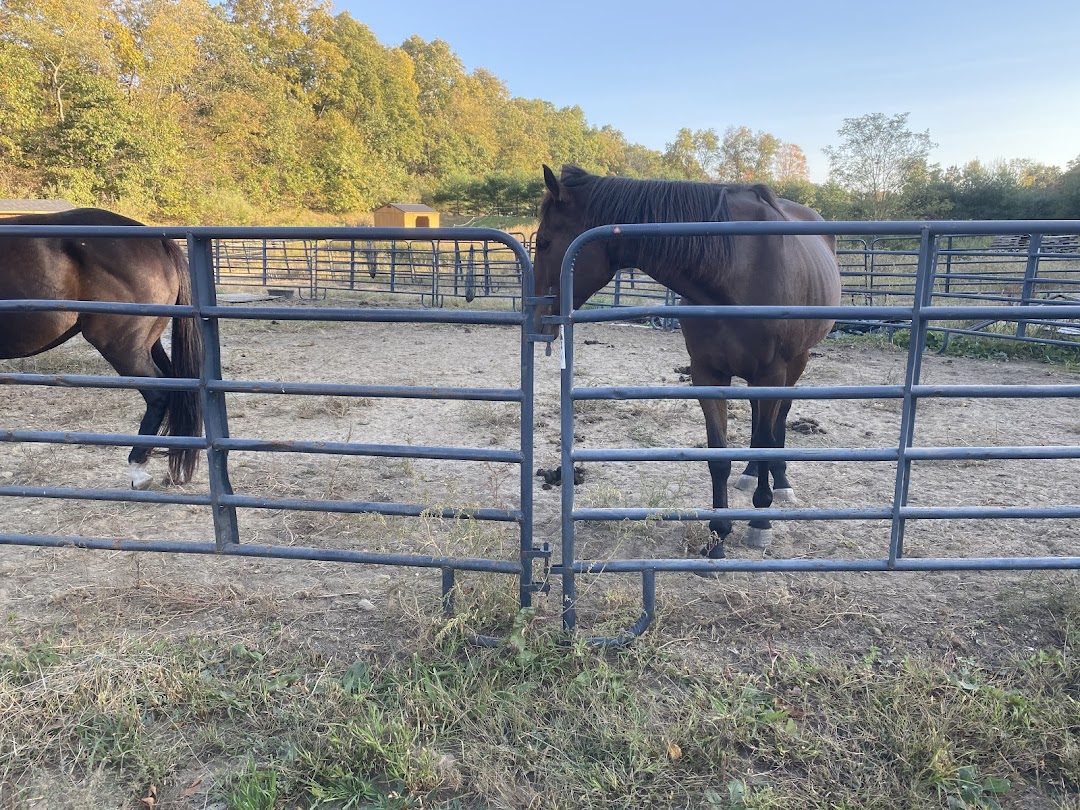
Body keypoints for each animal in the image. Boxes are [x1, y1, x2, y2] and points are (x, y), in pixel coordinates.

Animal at [535, 165, 838, 557]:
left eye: (542, 243)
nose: (538, 321)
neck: (736, 272)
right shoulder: (707, 374)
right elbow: (718, 458)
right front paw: (718, 534)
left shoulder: (772, 373)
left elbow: (766, 437)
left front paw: (760, 523)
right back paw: (750, 475)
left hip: (796, 362)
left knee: (777, 422)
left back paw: (780, 482)